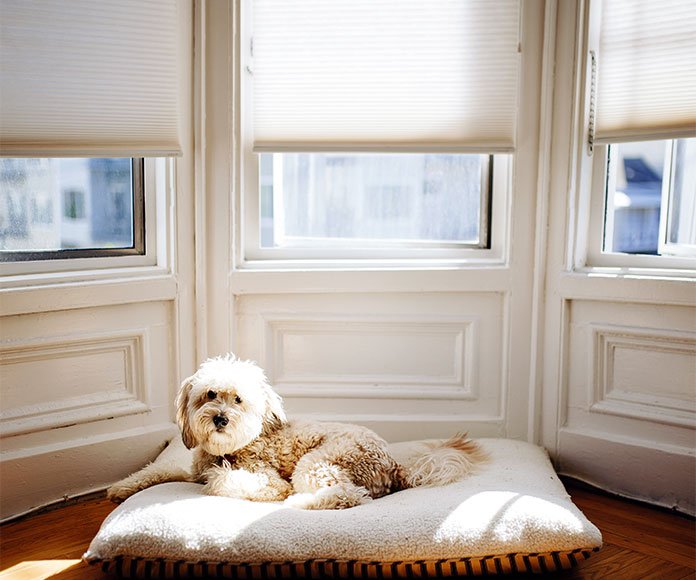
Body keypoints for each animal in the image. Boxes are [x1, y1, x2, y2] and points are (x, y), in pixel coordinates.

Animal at [107, 354, 484, 508]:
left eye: (238, 399)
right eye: (210, 394)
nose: (221, 419)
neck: (228, 450)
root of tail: (393, 464)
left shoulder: (266, 479)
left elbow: (223, 481)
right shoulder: (189, 470)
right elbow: (158, 470)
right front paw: (121, 487)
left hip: (316, 463)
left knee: (348, 496)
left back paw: (300, 502)